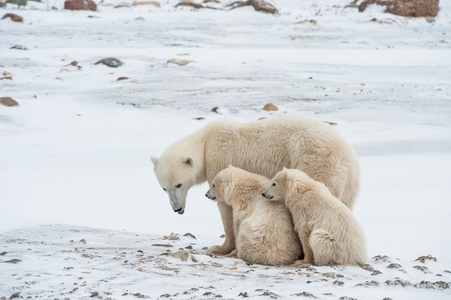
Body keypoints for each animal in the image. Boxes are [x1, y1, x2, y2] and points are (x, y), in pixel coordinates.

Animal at [152, 116, 360, 254]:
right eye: (164, 188)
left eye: (179, 184)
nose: (177, 209)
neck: (206, 142)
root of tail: (348, 158)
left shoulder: (219, 160)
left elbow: (225, 207)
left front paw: (219, 248)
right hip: (348, 186)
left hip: (315, 162)